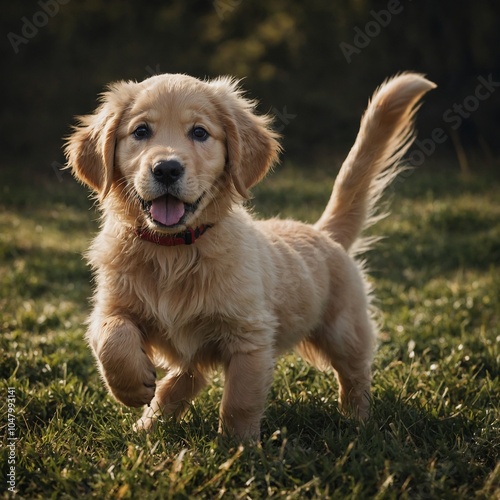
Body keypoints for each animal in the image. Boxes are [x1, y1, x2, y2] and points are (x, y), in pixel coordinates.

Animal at [65, 72, 434, 440]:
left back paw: (356, 421)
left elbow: (240, 398)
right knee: (184, 379)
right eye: (141, 131)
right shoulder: (111, 305)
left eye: (200, 132)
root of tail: (325, 233)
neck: (173, 252)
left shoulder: (250, 336)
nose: (167, 169)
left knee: (355, 376)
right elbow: (111, 336)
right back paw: (148, 427)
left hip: (345, 329)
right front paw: (130, 388)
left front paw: (238, 446)